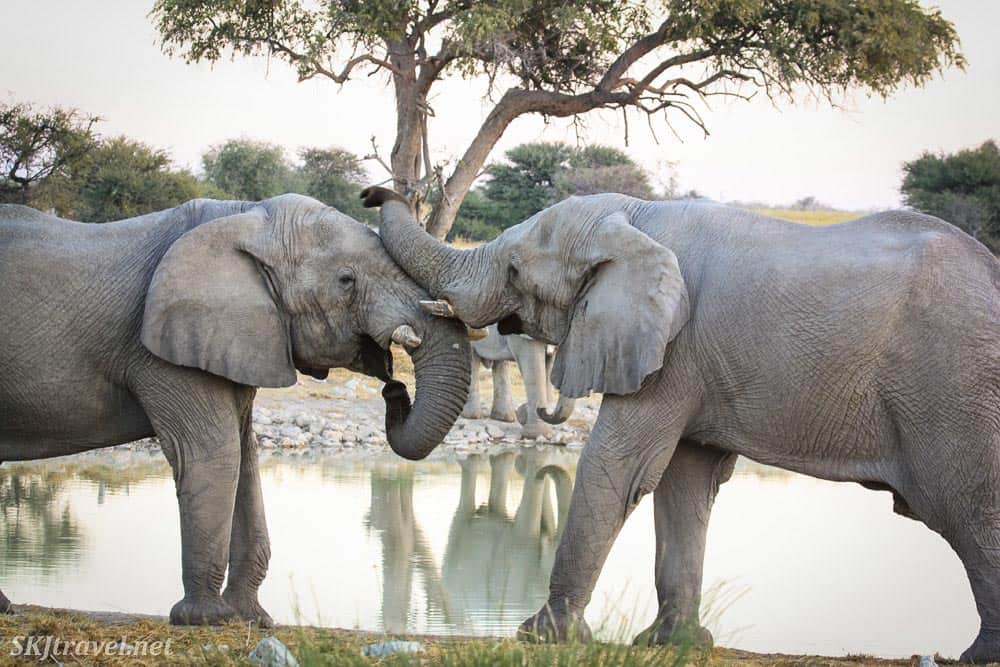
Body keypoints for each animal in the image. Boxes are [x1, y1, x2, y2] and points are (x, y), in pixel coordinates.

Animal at [0, 196, 470, 628]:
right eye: (346, 280)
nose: (393, 385)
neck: (246, 218)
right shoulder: (165, 349)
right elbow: (213, 452)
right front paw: (204, 619)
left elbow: (245, 457)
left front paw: (250, 620)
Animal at [362, 187, 1000, 664]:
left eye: (516, 269)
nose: (374, 192)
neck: (636, 218)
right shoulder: (689, 360)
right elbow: (684, 481)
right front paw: (672, 644)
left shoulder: (673, 350)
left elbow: (618, 467)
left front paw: (542, 638)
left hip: (956, 391)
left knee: (966, 507)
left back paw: (975, 658)